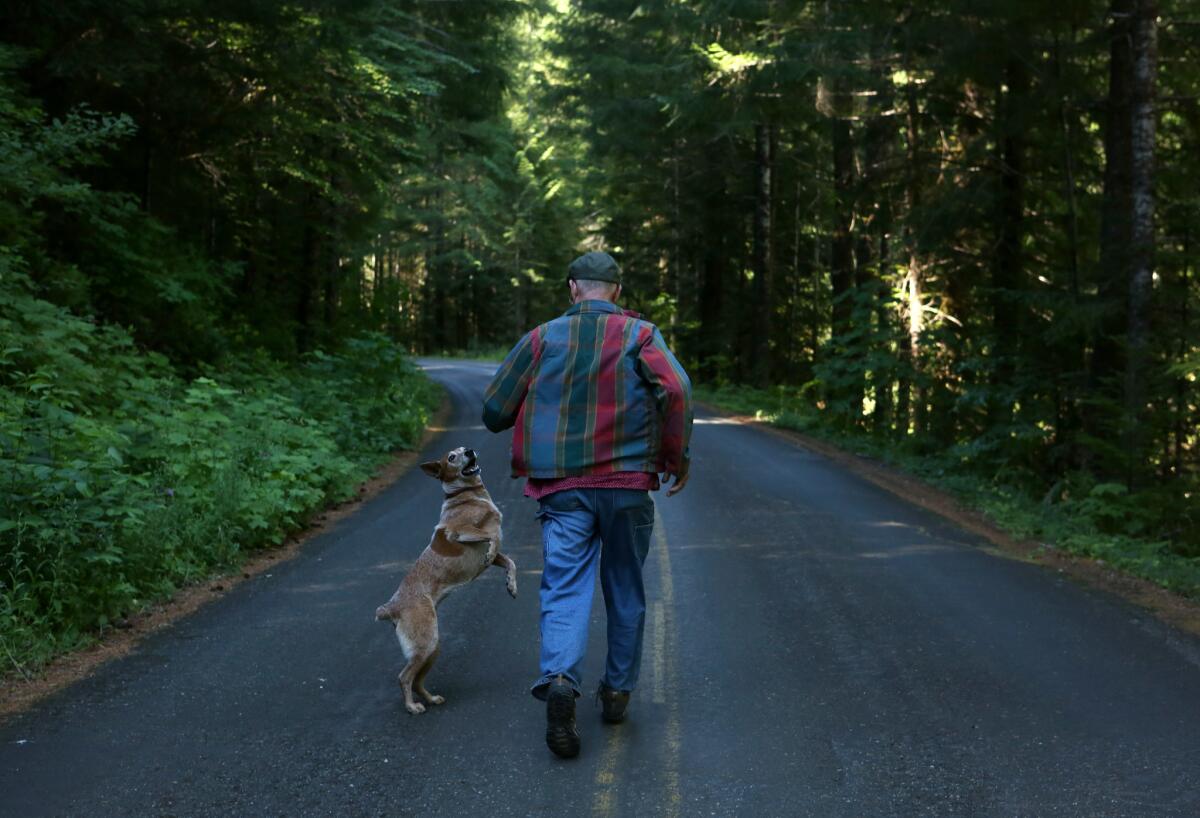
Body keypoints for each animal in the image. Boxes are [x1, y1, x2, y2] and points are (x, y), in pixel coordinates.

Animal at [369, 446, 511, 714]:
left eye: (463, 448)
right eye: (452, 457)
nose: (470, 451)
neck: (468, 495)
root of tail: (391, 607)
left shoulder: (491, 557)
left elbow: (508, 560)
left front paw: (512, 585)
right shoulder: (459, 532)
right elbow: (490, 537)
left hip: (433, 648)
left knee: (417, 681)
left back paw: (431, 699)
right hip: (426, 644)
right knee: (404, 678)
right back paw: (412, 707)